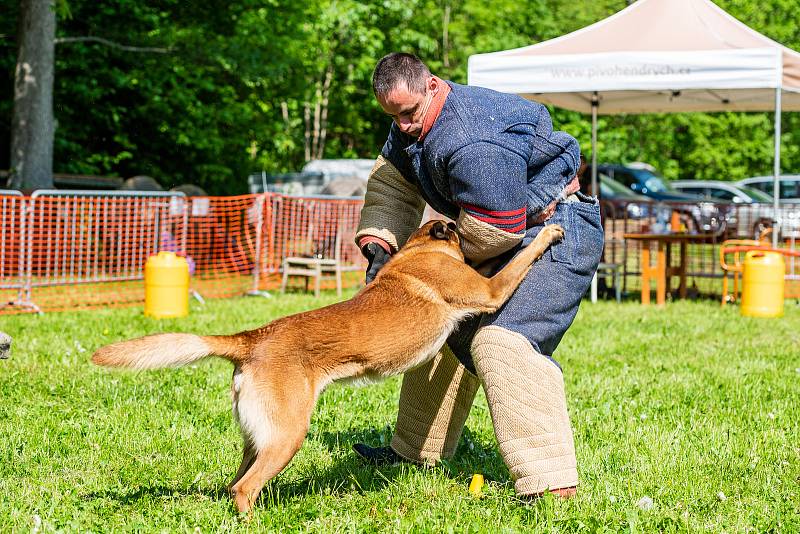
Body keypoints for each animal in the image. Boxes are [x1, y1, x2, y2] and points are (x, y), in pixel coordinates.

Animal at [92, 221, 564, 516]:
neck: (420, 250)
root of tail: (252, 338)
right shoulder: (490, 289)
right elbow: (517, 262)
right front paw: (547, 233)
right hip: (288, 436)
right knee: (244, 489)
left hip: (258, 437)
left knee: (234, 484)